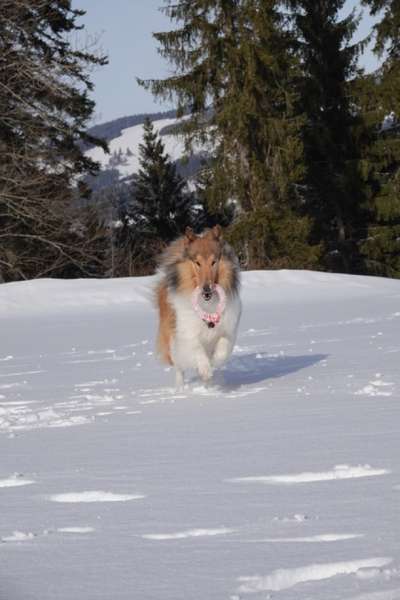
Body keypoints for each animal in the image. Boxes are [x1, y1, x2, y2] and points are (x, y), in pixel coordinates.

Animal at [155, 226, 241, 390]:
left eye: (214, 262)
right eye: (197, 263)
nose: (206, 290)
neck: (207, 304)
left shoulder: (228, 328)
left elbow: (223, 347)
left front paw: (214, 363)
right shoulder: (187, 333)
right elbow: (197, 349)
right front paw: (205, 370)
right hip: (171, 340)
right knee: (179, 368)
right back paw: (180, 388)